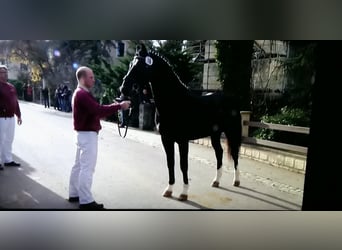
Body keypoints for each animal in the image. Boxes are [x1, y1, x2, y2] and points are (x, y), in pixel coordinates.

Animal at [120, 44, 243, 201]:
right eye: (131, 64)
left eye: (142, 66)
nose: (123, 88)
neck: (175, 102)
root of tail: (231, 99)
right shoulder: (166, 139)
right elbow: (170, 163)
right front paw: (169, 189)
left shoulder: (183, 141)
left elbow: (183, 165)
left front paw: (184, 193)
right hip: (215, 134)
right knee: (219, 153)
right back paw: (216, 181)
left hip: (231, 132)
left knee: (235, 153)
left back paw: (236, 181)